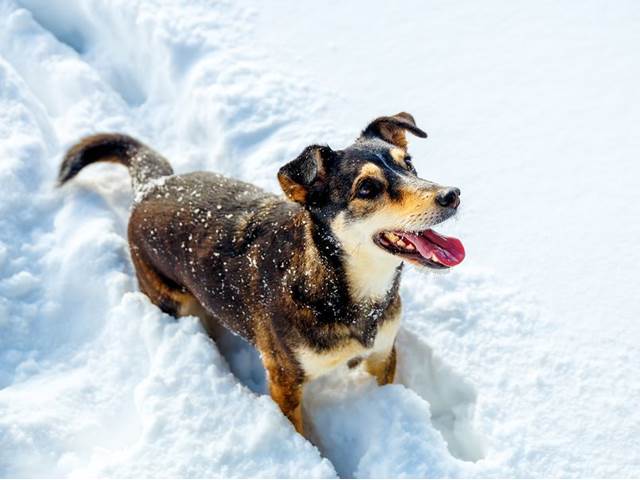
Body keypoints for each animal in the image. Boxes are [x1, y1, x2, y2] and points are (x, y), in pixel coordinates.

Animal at [58, 112, 464, 436]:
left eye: (408, 163)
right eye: (367, 188)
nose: (452, 194)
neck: (339, 287)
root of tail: (152, 187)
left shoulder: (382, 354)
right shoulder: (285, 380)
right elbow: (300, 435)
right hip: (168, 297)